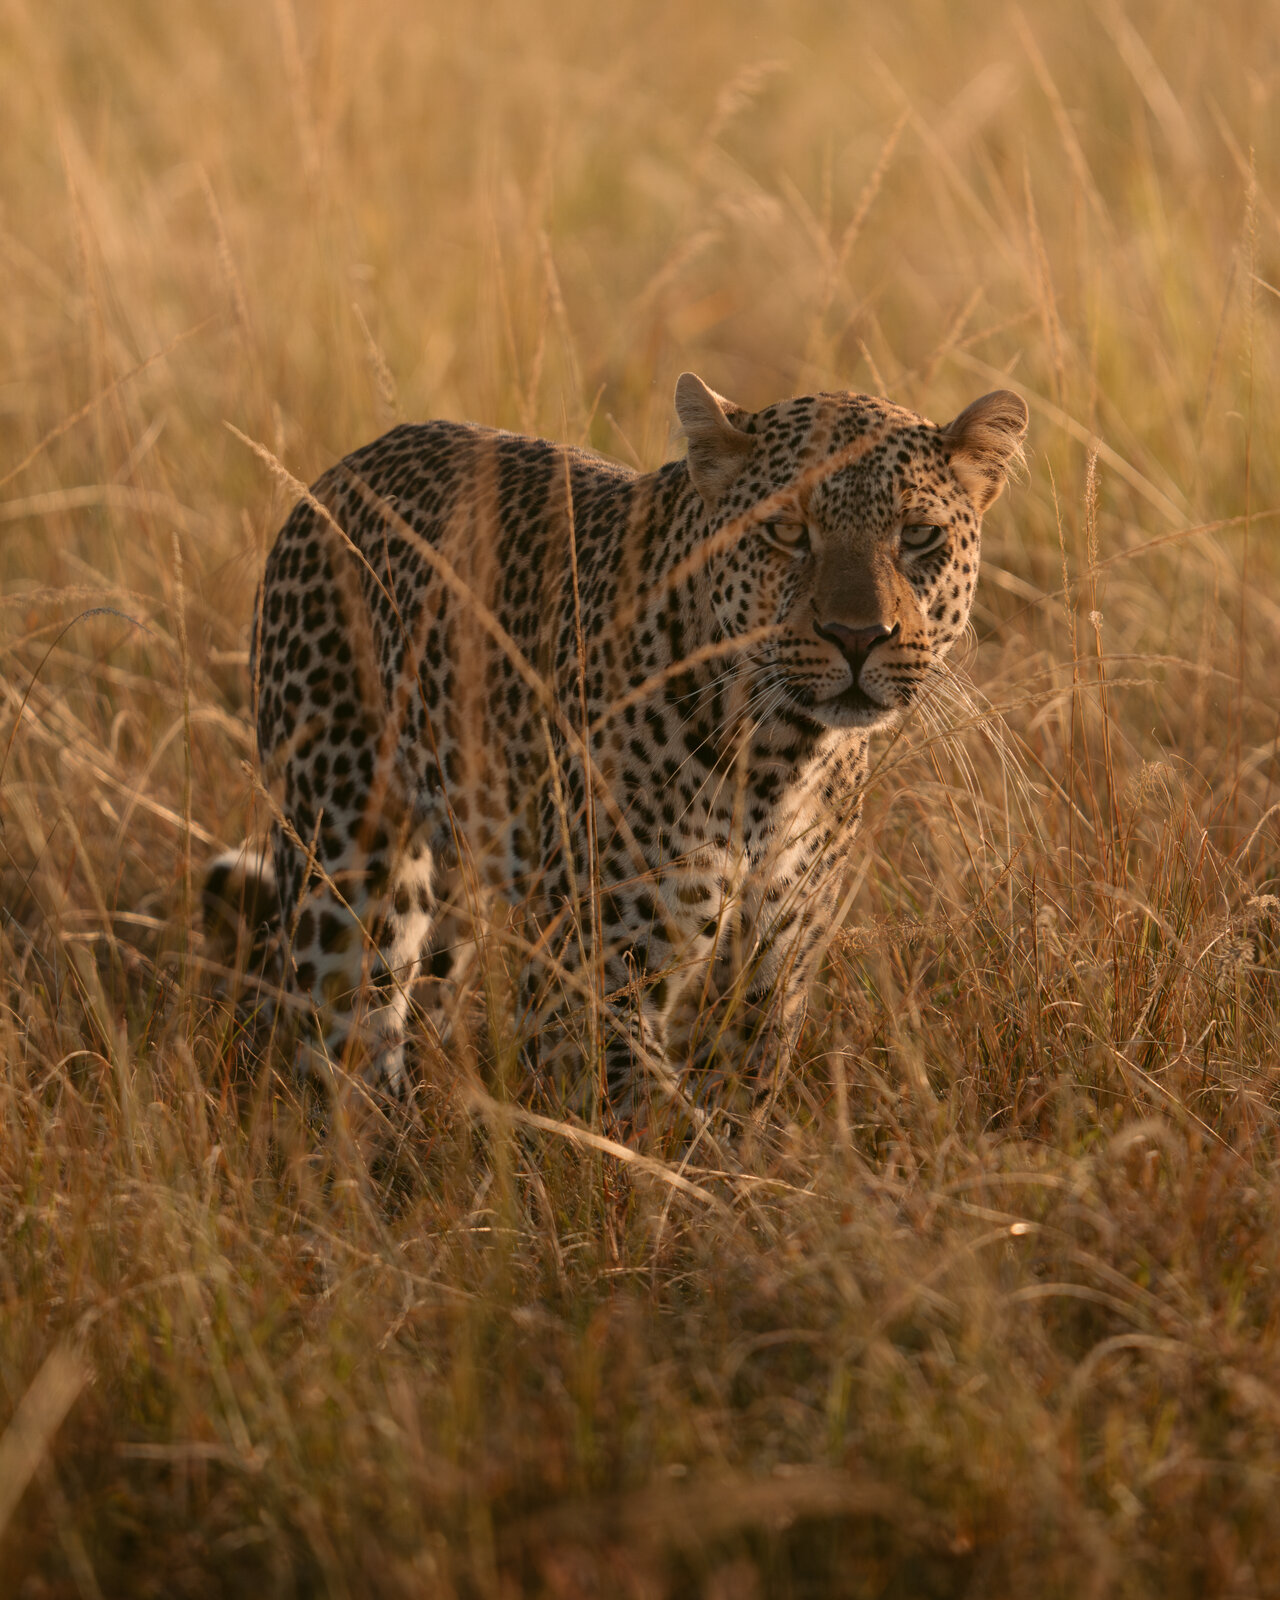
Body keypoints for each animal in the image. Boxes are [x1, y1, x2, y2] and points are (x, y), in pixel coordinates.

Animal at [208, 372, 1027, 1126]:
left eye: (917, 537)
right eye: (787, 532)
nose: (858, 637)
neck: (781, 758)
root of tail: (338, 472)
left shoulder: (768, 972)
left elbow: (731, 1112)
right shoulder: (593, 973)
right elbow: (660, 1131)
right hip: (347, 855)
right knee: (340, 1042)